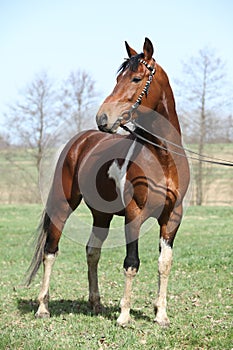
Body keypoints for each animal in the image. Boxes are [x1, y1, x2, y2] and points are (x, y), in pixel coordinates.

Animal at [26, 37, 190, 326]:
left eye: (136, 78)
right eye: (118, 78)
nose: (103, 118)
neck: (162, 158)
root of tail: (80, 141)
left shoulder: (172, 217)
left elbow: (164, 263)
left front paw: (161, 315)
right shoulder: (134, 214)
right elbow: (131, 262)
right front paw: (124, 316)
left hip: (101, 214)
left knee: (92, 251)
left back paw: (95, 303)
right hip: (63, 205)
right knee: (50, 251)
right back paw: (43, 306)